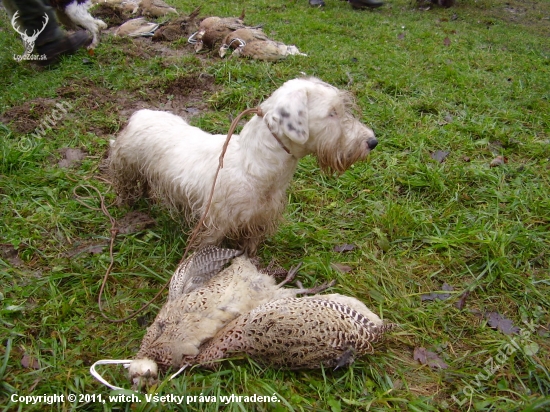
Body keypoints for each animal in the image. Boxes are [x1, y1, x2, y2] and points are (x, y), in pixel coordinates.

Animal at [110, 75, 382, 253]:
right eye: (331, 113)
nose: (372, 142)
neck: (256, 167)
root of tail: (140, 114)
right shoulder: (213, 226)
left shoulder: (257, 223)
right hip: (126, 166)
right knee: (125, 186)